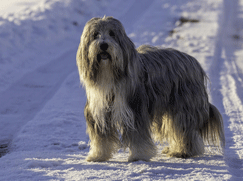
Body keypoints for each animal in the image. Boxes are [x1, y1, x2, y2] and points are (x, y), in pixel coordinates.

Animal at [75, 16, 224, 162]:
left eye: (112, 33)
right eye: (95, 35)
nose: (103, 45)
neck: (109, 75)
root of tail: (195, 62)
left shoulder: (135, 110)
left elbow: (138, 137)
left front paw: (138, 156)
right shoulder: (99, 113)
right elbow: (101, 138)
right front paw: (98, 156)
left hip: (183, 106)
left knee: (185, 130)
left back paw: (183, 151)